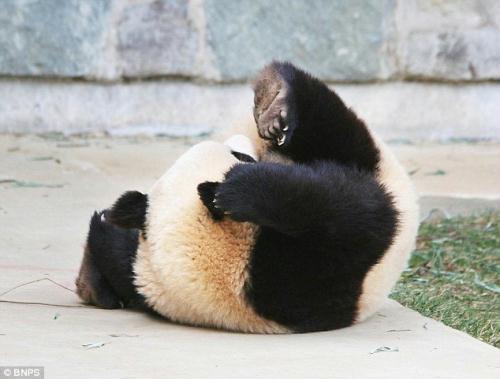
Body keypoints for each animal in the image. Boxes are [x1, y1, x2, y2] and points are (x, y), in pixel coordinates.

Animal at [75, 60, 418, 334]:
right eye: (239, 156)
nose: (241, 140)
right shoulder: (298, 279)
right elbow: (355, 212)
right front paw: (238, 190)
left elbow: (116, 244)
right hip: (372, 159)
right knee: (336, 126)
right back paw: (280, 96)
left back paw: (272, 98)